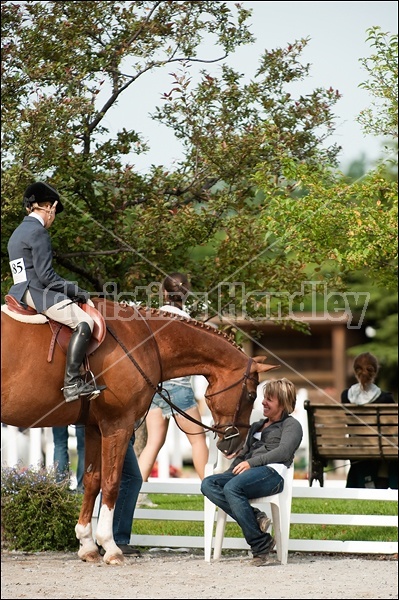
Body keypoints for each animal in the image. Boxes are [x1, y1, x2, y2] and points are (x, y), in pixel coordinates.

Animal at [1, 298, 278, 564]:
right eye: (251, 395)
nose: (234, 445)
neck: (144, 340)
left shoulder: (95, 428)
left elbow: (92, 481)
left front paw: (88, 546)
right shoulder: (118, 425)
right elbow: (111, 483)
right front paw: (110, 547)